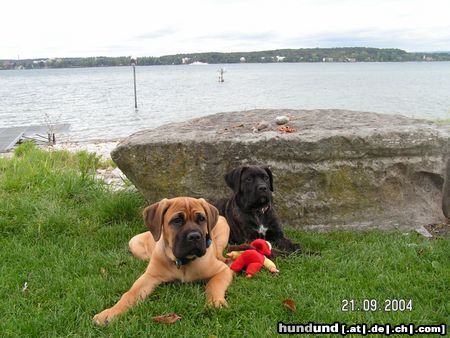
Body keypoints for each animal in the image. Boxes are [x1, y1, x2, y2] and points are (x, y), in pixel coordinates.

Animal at [92, 197, 232, 326]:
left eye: (202, 219)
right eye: (177, 220)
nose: (194, 236)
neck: (182, 262)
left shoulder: (223, 270)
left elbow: (214, 284)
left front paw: (215, 302)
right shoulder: (149, 277)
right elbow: (129, 294)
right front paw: (110, 312)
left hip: (224, 227)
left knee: (220, 254)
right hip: (134, 243)